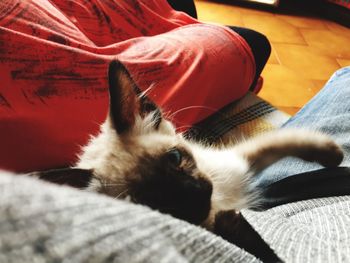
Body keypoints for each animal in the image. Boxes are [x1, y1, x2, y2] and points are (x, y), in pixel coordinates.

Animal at [31, 60, 344, 231]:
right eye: (150, 202)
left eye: (174, 158)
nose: (194, 193)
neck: (221, 201)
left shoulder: (241, 161)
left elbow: (288, 140)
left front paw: (332, 155)